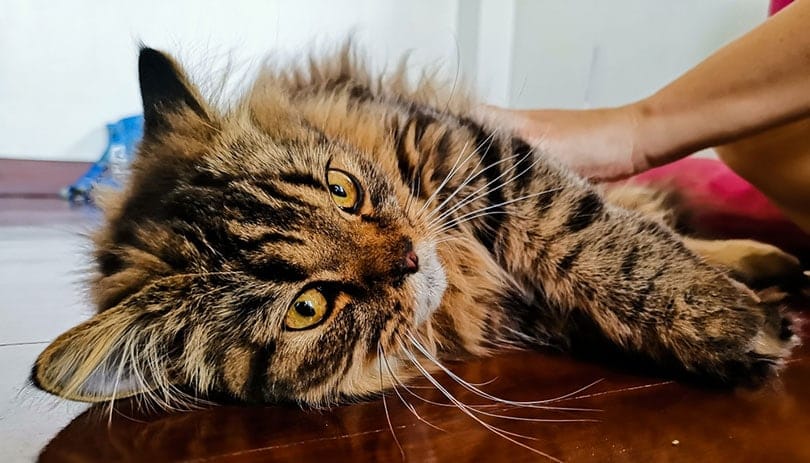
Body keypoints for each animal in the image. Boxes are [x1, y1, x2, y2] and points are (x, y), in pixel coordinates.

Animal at [31, 46, 796, 410]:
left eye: (342, 190)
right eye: (308, 307)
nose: (408, 258)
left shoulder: (486, 158)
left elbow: (607, 246)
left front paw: (729, 320)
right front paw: (737, 331)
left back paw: (768, 264)